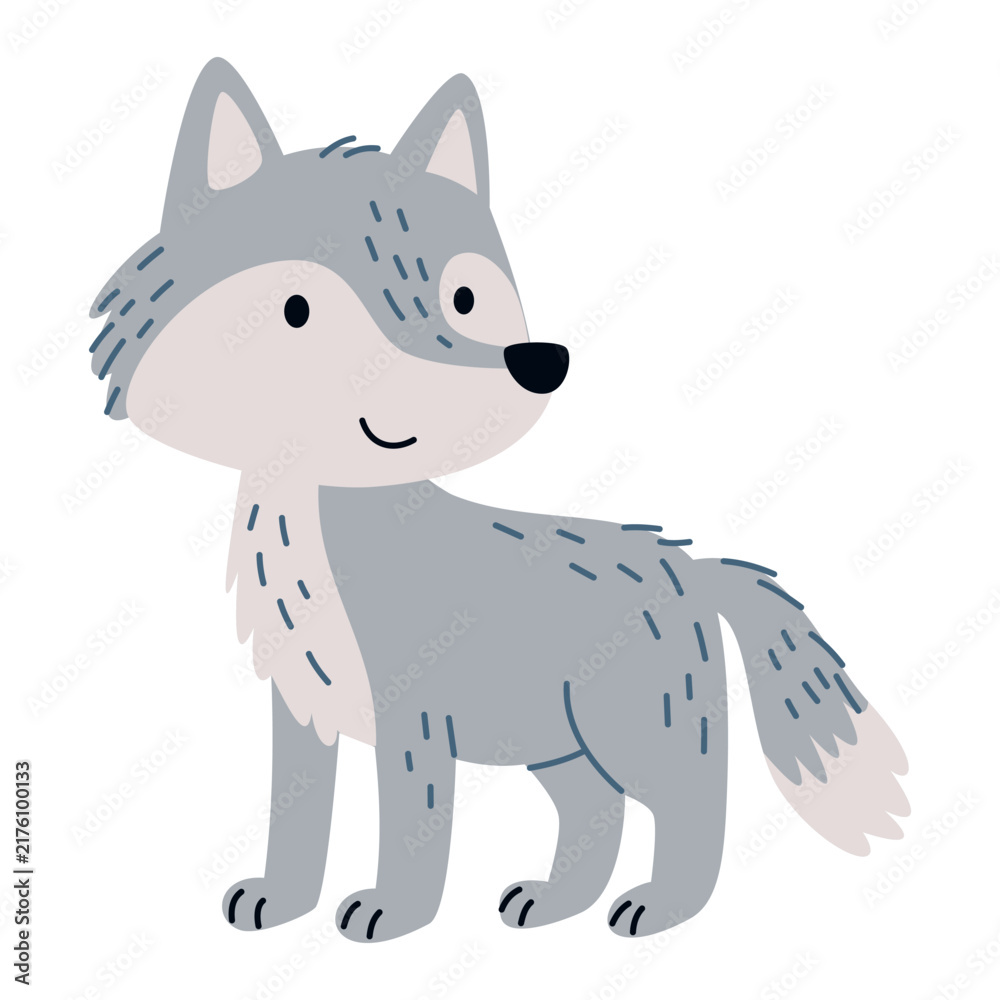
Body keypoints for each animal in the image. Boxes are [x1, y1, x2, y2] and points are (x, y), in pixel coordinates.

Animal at [88, 58, 909, 942]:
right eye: (296, 310)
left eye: (466, 299)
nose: (538, 361)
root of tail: (689, 562)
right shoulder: (301, 714)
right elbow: (296, 819)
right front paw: (281, 900)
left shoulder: (412, 720)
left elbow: (412, 829)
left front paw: (393, 913)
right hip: (558, 748)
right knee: (596, 817)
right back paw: (554, 903)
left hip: (635, 736)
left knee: (692, 812)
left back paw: (658, 909)